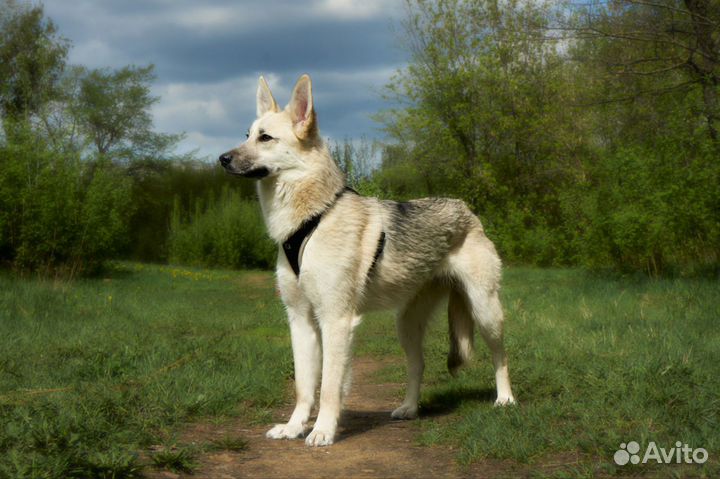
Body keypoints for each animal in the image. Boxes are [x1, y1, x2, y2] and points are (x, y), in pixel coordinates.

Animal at [217, 74, 516, 446]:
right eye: (247, 134)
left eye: (265, 137)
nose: (222, 158)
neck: (312, 218)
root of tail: (467, 210)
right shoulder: (300, 321)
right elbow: (304, 386)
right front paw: (294, 427)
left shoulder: (336, 321)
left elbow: (330, 387)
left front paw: (322, 431)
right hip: (406, 325)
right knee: (418, 366)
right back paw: (409, 409)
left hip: (485, 311)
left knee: (501, 355)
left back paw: (505, 399)